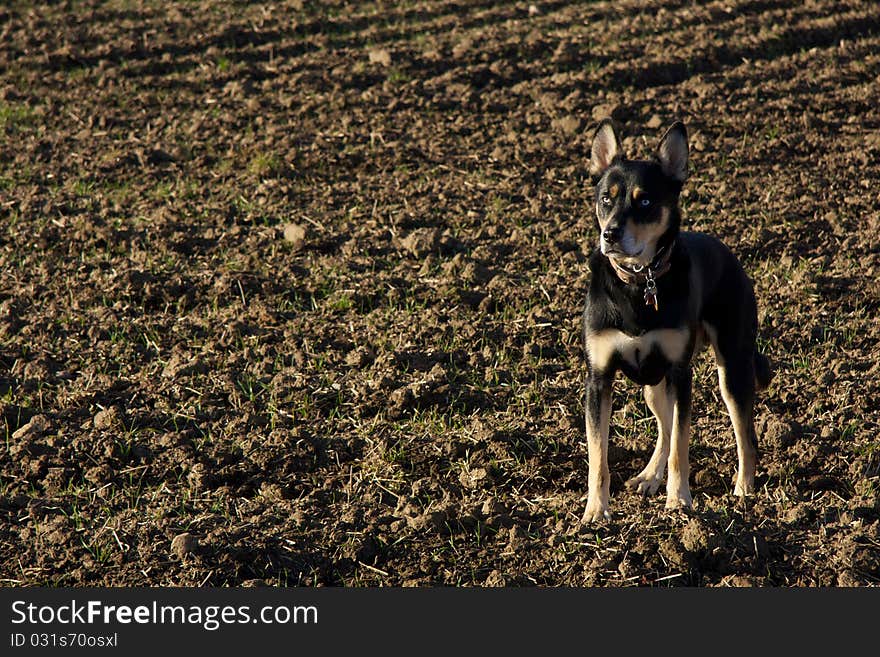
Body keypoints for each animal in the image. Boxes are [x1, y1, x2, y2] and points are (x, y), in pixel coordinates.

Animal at [580, 119, 772, 524]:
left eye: (645, 201)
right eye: (606, 198)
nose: (610, 234)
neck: (640, 282)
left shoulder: (681, 373)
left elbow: (681, 446)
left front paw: (679, 501)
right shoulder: (598, 377)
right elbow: (598, 455)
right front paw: (596, 510)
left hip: (732, 368)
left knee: (744, 433)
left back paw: (744, 488)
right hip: (655, 385)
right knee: (664, 428)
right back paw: (650, 475)